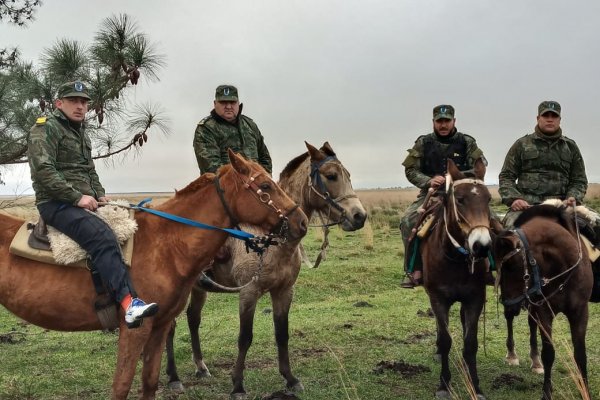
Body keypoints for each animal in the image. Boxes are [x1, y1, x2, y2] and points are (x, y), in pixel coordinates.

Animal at [0, 151, 310, 400]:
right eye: (265, 186)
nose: (302, 222)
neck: (166, 243)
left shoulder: (160, 326)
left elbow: (149, 382)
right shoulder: (135, 330)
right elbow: (121, 386)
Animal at [166, 142, 368, 398]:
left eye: (348, 175)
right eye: (331, 176)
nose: (359, 216)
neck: (271, 241)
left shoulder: (284, 291)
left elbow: (282, 333)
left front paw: (290, 379)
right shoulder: (248, 293)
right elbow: (245, 337)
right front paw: (238, 385)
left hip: (199, 288)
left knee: (193, 319)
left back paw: (201, 368)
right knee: (170, 327)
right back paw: (173, 377)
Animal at [422, 158, 492, 398]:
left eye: (489, 199)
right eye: (460, 200)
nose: (482, 246)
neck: (454, 258)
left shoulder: (475, 298)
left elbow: (471, 342)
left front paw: (476, 386)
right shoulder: (438, 299)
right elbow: (445, 340)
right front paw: (444, 384)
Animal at [494, 206, 592, 400]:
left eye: (511, 265)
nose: (508, 303)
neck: (563, 267)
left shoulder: (580, 312)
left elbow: (580, 353)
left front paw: (585, 389)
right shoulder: (545, 311)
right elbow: (549, 353)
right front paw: (546, 392)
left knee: (531, 323)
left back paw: (535, 361)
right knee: (511, 320)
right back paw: (512, 355)